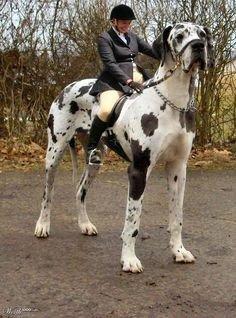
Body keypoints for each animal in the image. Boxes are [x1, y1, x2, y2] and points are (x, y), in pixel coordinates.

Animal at [34, 22, 214, 272]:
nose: (198, 46)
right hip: (54, 153)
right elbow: (132, 220)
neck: (173, 102)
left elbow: (177, 216)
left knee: (80, 190)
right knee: (47, 192)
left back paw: (85, 224)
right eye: (179, 36)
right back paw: (42, 226)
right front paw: (128, 259)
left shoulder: (178, 168)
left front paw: (179, 251)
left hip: (95, 160)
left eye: (202, 35)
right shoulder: (138, 170)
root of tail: (69, 85)